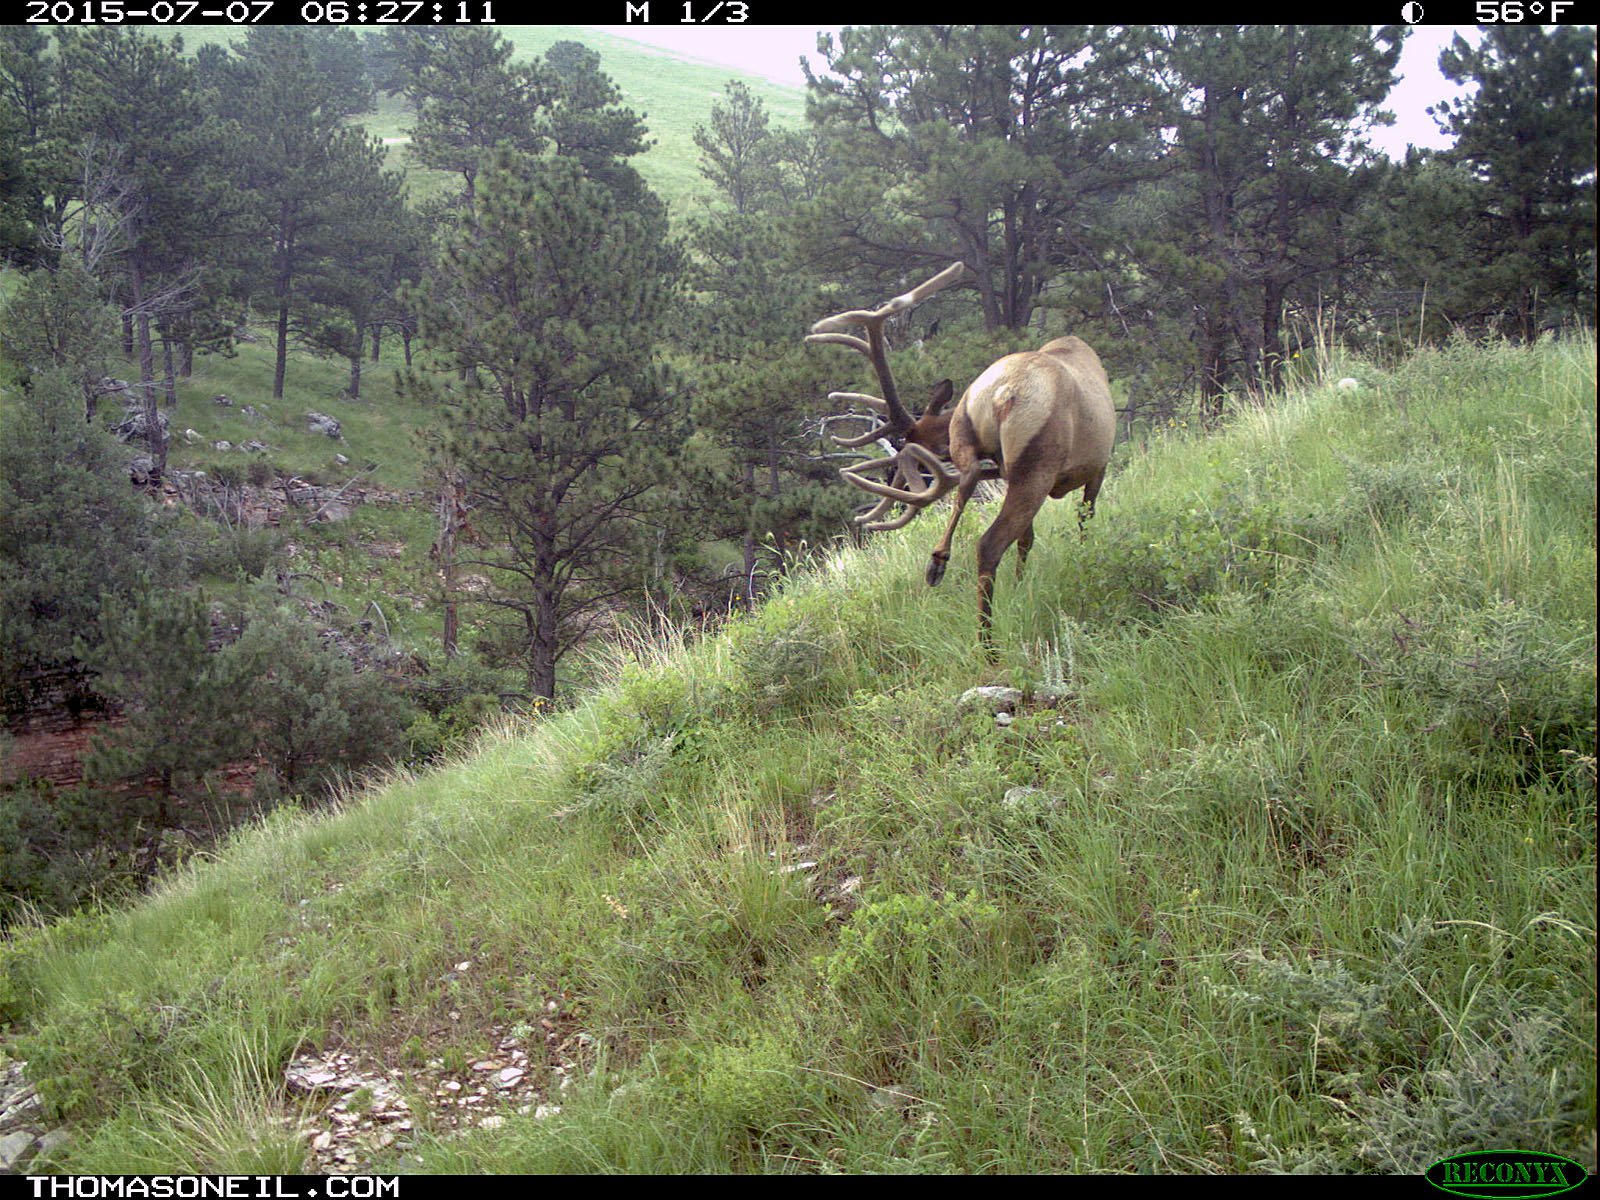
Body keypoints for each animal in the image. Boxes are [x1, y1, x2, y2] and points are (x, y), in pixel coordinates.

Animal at [807, 262, 1115, 656]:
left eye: (916, 446)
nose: (898, 467)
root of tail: (1000, 394)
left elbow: (1027, 538)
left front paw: (1021, 585)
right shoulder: (1098, 466)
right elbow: (1083, 523)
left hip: (981, 446)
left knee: (967, 482)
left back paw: (937, 562)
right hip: (1036, 465)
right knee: (988, 542)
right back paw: (987, 643)